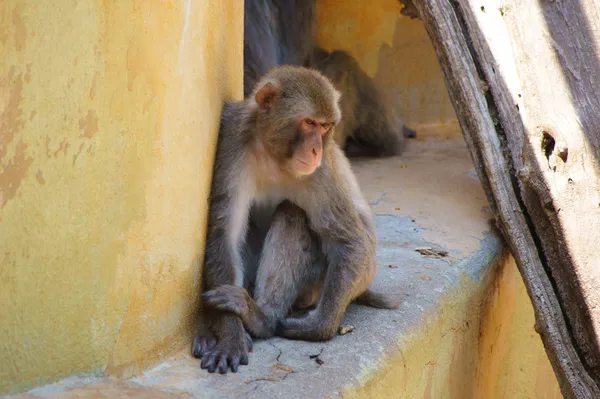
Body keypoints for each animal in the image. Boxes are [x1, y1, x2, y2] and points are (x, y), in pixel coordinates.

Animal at [192, 66, 398, 376]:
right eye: (309, 122)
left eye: (325, 127)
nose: (316, 150)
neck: (273, 153)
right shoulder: (232, 138)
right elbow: (225, 235)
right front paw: (229, 335)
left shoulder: (321, 171)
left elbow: (350, 242)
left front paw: (317, 328)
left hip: (319, 284)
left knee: (293, 212)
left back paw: (260, 318)